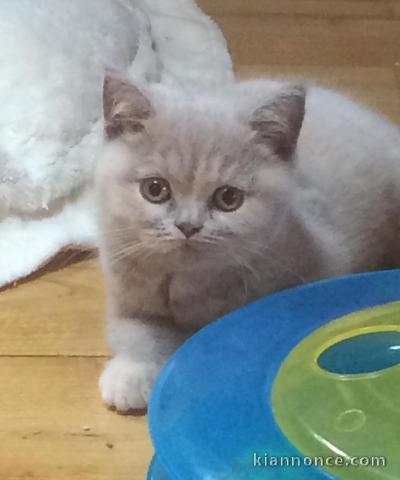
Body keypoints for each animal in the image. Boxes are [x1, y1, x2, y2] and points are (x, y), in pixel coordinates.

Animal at [97, 75, 400, 412]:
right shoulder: (125, 293)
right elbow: (132, 332)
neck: (192, 285)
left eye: (228, 198)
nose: (188, 226)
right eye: (155, 189)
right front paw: (130, 374)